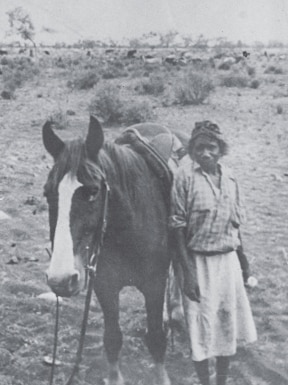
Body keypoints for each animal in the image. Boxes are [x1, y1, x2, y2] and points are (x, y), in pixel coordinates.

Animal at [42, 115, 172, 384]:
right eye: (47, 193)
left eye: (93, 192)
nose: (61, 279)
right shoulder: (104, 285)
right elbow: (112, 339)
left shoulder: (154, 284)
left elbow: (156, 339)